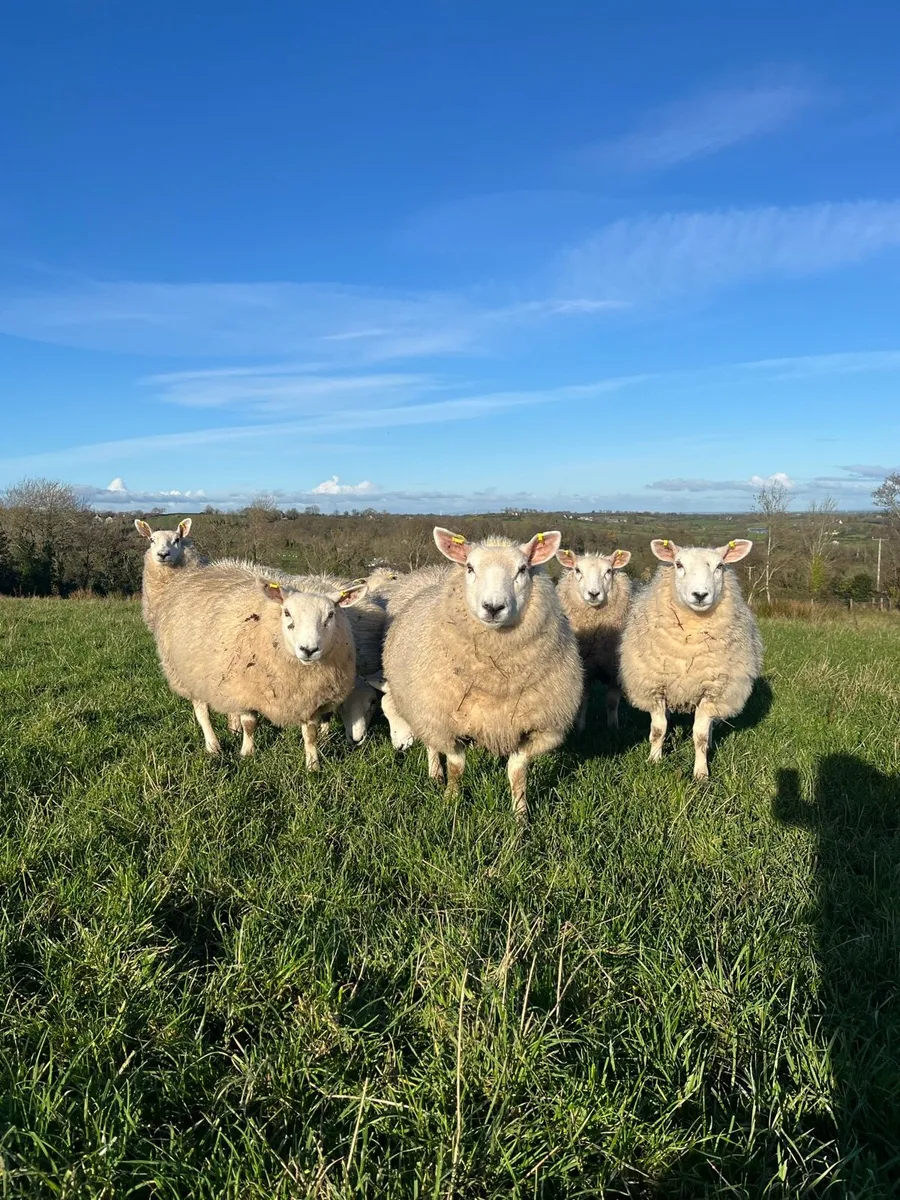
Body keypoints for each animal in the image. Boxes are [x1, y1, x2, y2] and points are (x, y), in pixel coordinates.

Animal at [151, 559, 367, 768]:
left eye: (331, 614)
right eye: (287, 612)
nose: (308, 650)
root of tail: (209, 569)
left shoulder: (311, 698)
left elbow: (311, 735)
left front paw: (313, 765)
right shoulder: (247, 689)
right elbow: (249, 725)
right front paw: (247, 753)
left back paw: (233, 730)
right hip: (189, 675)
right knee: (202, 712)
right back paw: (213, 746)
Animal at [382, 528, 584, 819]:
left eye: (522, 569)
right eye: (470, 567)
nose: (493, 607)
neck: (495, 679)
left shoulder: (534, 727)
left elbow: (517, 773)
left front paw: (520, 816)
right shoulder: (446, 723)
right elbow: (456, 766)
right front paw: (451, 801)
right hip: (424, 709)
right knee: (431, 744)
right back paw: (435, 774)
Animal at [555, 547, 633, 731]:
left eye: (609, 571)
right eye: (577, 570)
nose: (594, 594)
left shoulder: (615, 668)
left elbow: (612, 702)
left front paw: (613, 727)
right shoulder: (584, 669)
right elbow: (582, 702)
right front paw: (580, 728)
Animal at [619, 538, 762, 780]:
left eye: (720, 566)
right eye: (678, 564)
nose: (700, 595)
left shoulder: (711, 690)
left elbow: (700, 736)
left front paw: (701, 774)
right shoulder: (656, 686)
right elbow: (658, 730)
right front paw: (654, 760)